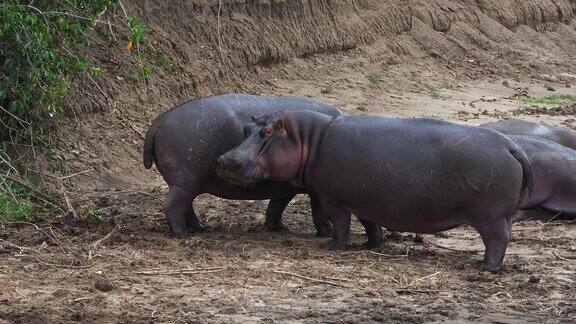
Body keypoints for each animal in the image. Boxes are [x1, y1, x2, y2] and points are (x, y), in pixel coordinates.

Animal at [217, 110, 536, 272]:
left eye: (267, 132)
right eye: (246, 128)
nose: (225, 160)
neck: (308, 137)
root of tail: (513, 147)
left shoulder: (333, 198)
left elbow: (340, 224)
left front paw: (332, 247)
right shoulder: (365, 198)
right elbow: (370, 223)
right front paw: (373, 244)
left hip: (489, 217)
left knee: (497, 240)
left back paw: (485, 267)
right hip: (502, 214)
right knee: (505, 237)